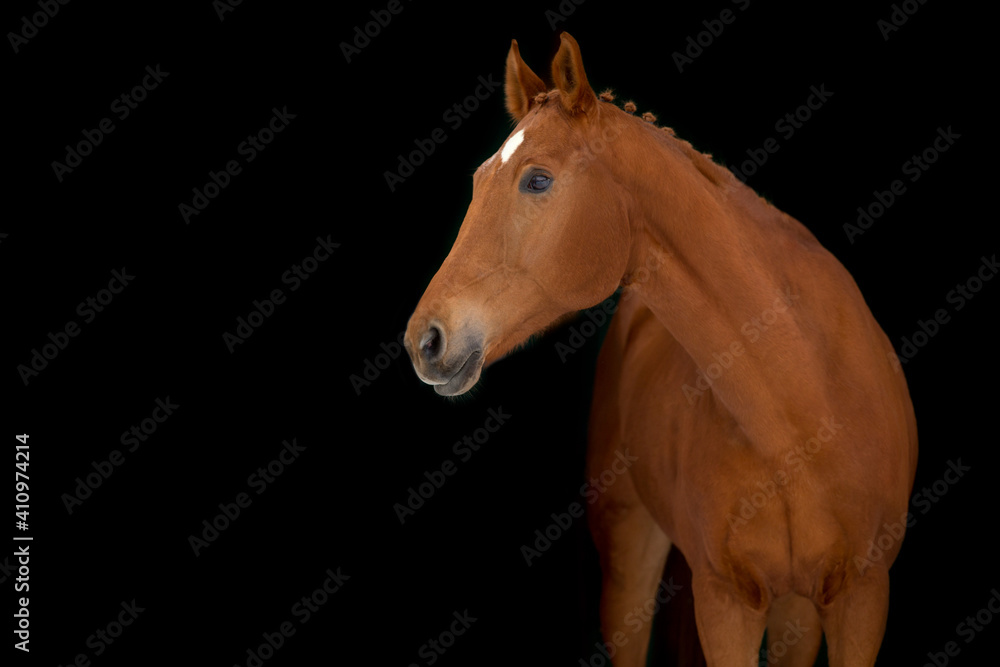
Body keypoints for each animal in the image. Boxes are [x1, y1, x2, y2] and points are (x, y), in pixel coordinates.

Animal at [403, 33, 917, 667]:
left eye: (537, 180)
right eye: (477, 181)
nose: (425, 340)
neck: (805, 409)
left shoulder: (861, 599)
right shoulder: (724, 603)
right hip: (629, 558)